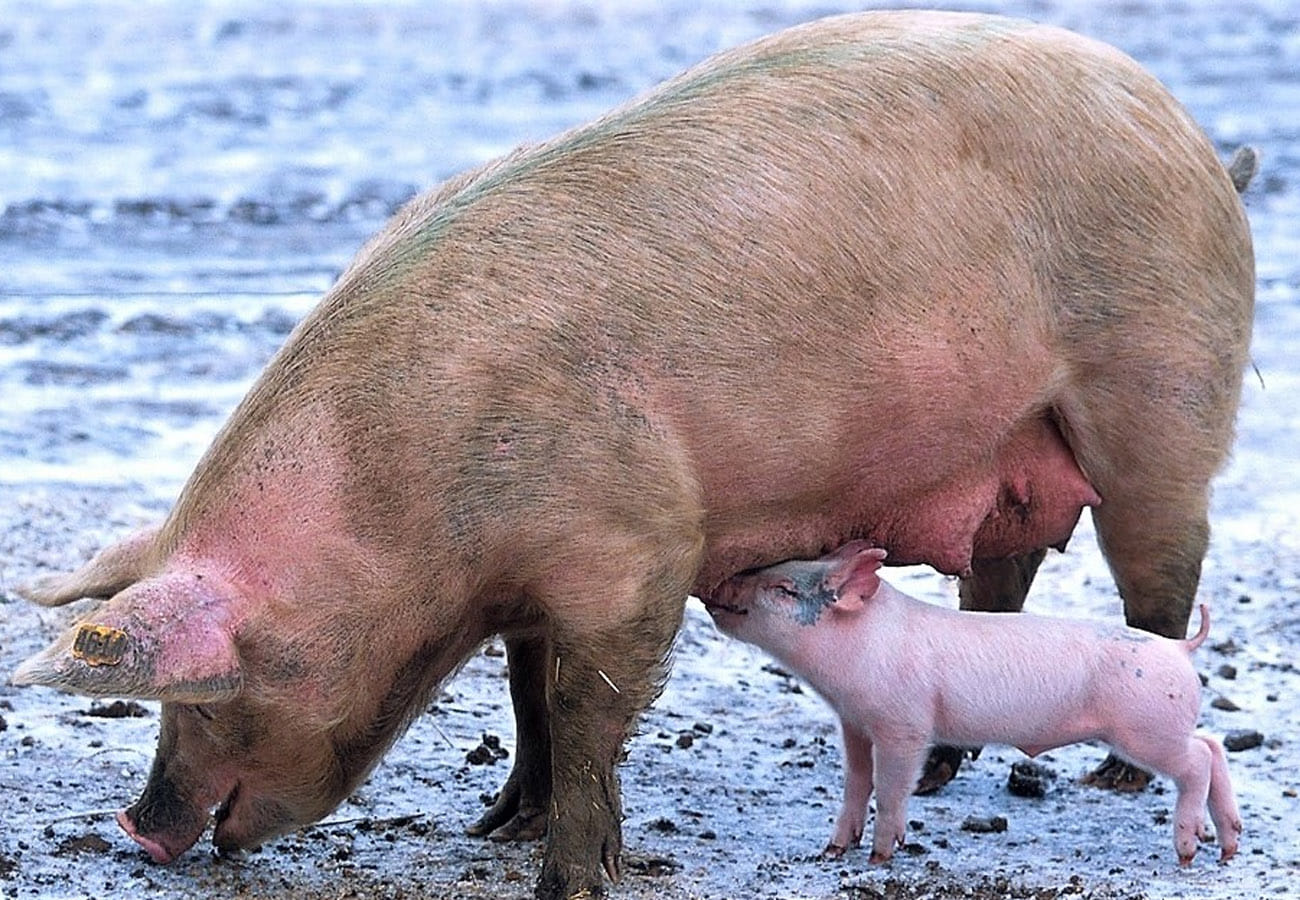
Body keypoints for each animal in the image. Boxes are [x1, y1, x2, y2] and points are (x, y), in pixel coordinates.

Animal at [704, 543, 1243, 866]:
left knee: (1197, 760)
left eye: (783, 589)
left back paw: (1189, 851)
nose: (716, 585)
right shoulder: (854, 722)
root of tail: (1180, 649)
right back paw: (1227, 847)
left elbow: (891, 787)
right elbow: (856, 782)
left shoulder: (904, 724)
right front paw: (833, 851)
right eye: (773, 570)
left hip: (1146, 729)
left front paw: (880, 858)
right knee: (1213, 745)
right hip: (1164, 725)